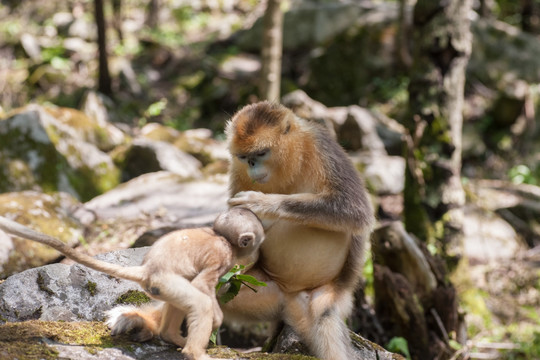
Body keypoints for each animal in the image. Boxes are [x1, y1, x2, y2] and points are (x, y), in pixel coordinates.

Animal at [0, 207, 264, 360]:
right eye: (258, 242)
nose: (258, 253)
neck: (222, 238)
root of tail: (147, 269)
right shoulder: (222, 256)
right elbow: (201, 286)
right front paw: (217, 319)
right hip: (164, 281)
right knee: (199, 301)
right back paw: (193, 352)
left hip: (162, 287)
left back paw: (170, 337)